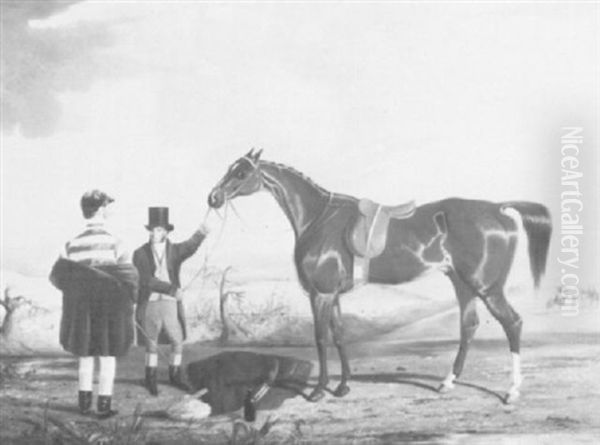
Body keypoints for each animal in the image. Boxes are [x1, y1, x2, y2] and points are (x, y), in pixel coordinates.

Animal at [207, 148, 552, 402]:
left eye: (241, 172)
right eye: (230, 168)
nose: (213, 198)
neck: (319, 219)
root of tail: (498, 209)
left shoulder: (321, 294)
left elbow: (320, 338)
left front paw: (318, 390)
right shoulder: (333, 296)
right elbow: (339, 334)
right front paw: (343, 386)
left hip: (487, 287)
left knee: (512, 323)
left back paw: (511, 391)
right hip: (463, 284)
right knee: (469, 326)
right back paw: (447, 383)